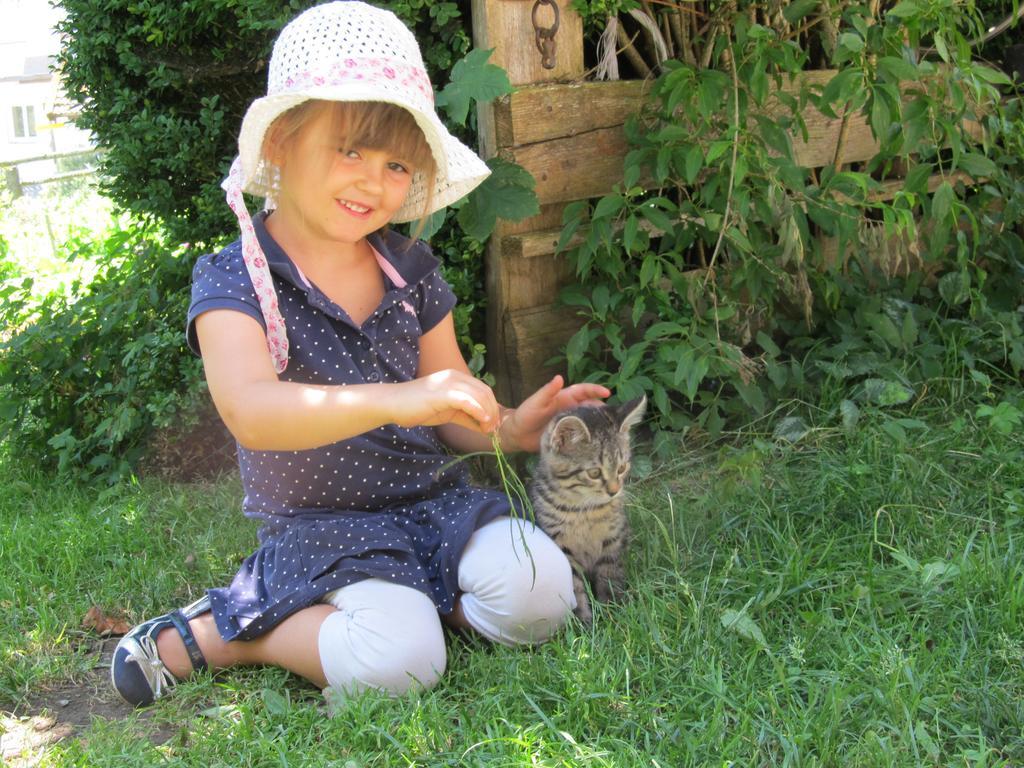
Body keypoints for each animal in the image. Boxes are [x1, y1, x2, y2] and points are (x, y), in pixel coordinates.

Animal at [528, 397, 647, 626]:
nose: (614, 491)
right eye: (594, 473)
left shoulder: (613, 540)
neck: (584, 509)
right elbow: (574, 587)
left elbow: (610, 576)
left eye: (621, 468)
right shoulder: (562, 546)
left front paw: (613, 611)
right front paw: (584, 621)